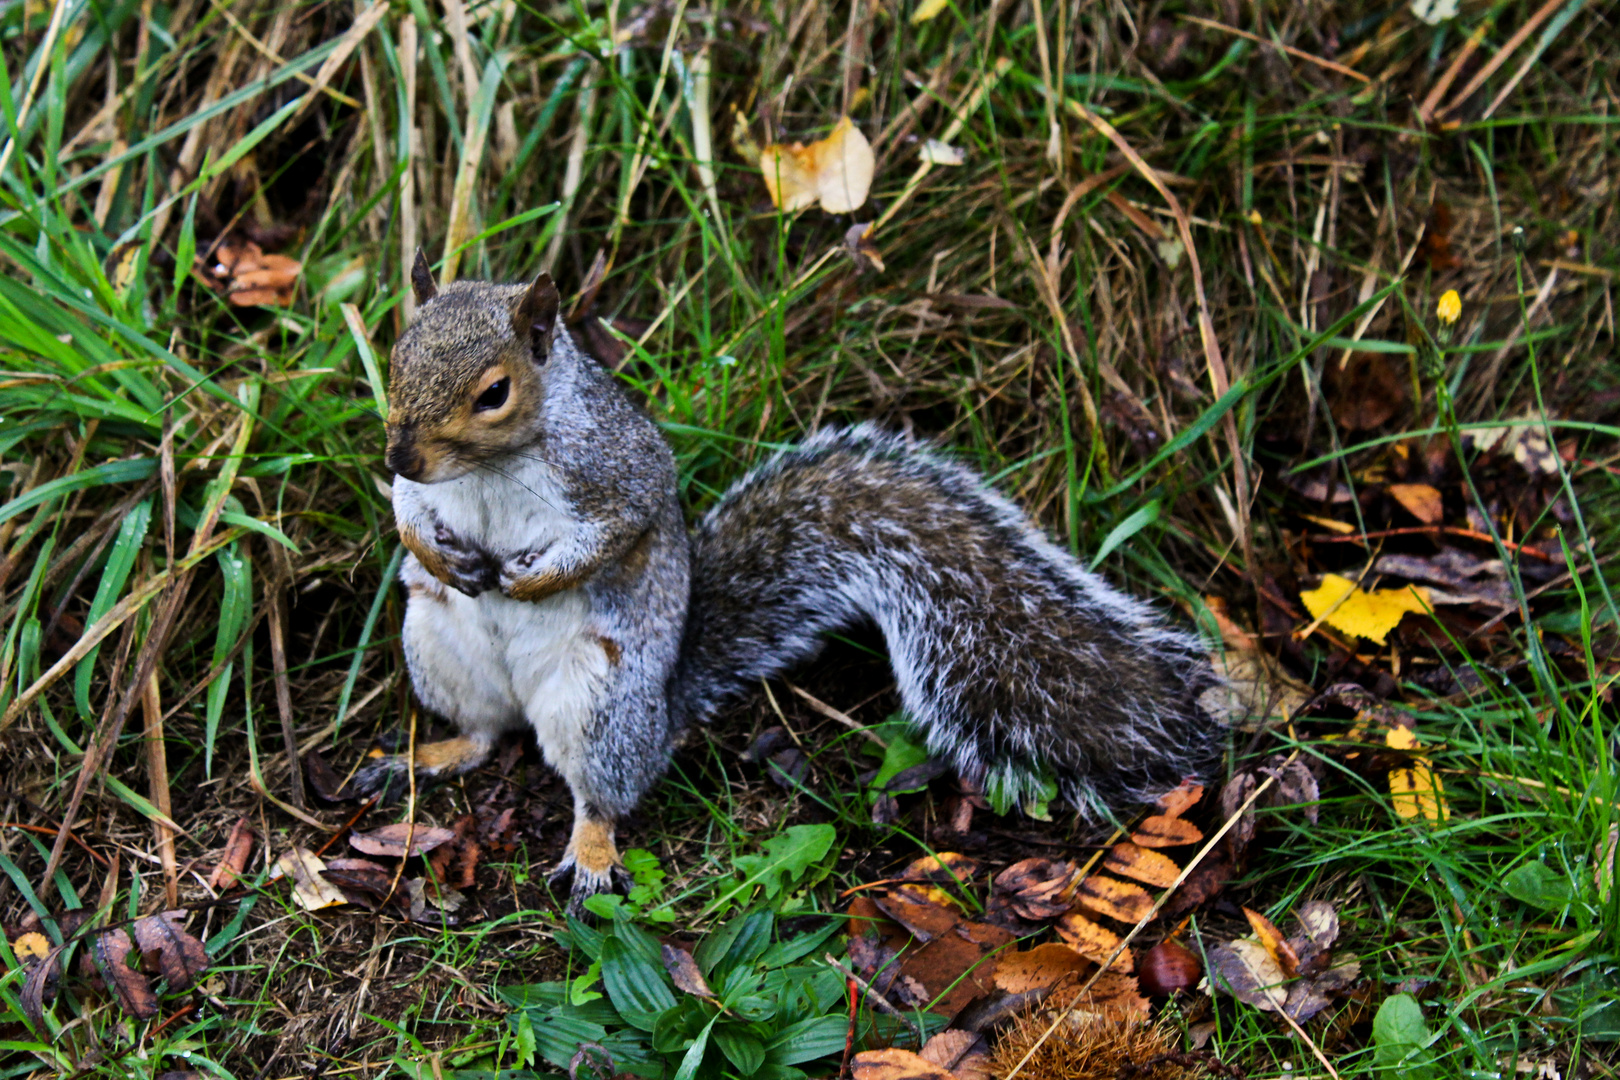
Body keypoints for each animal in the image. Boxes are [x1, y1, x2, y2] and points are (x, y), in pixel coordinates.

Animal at [361, 254, 1224, 913]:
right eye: (396, 357)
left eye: (494, 393)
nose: (401, 451)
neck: (491, 469)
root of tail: (666, 704)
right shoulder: (422, 494)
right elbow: (407, 511)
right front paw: (435, 547)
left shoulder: (617, 470)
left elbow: (617, 530)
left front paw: (535, 581)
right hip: (437, 645)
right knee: (484, 736)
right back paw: (422, 756)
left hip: (600, 705)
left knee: (600, 792)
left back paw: (593, 851)